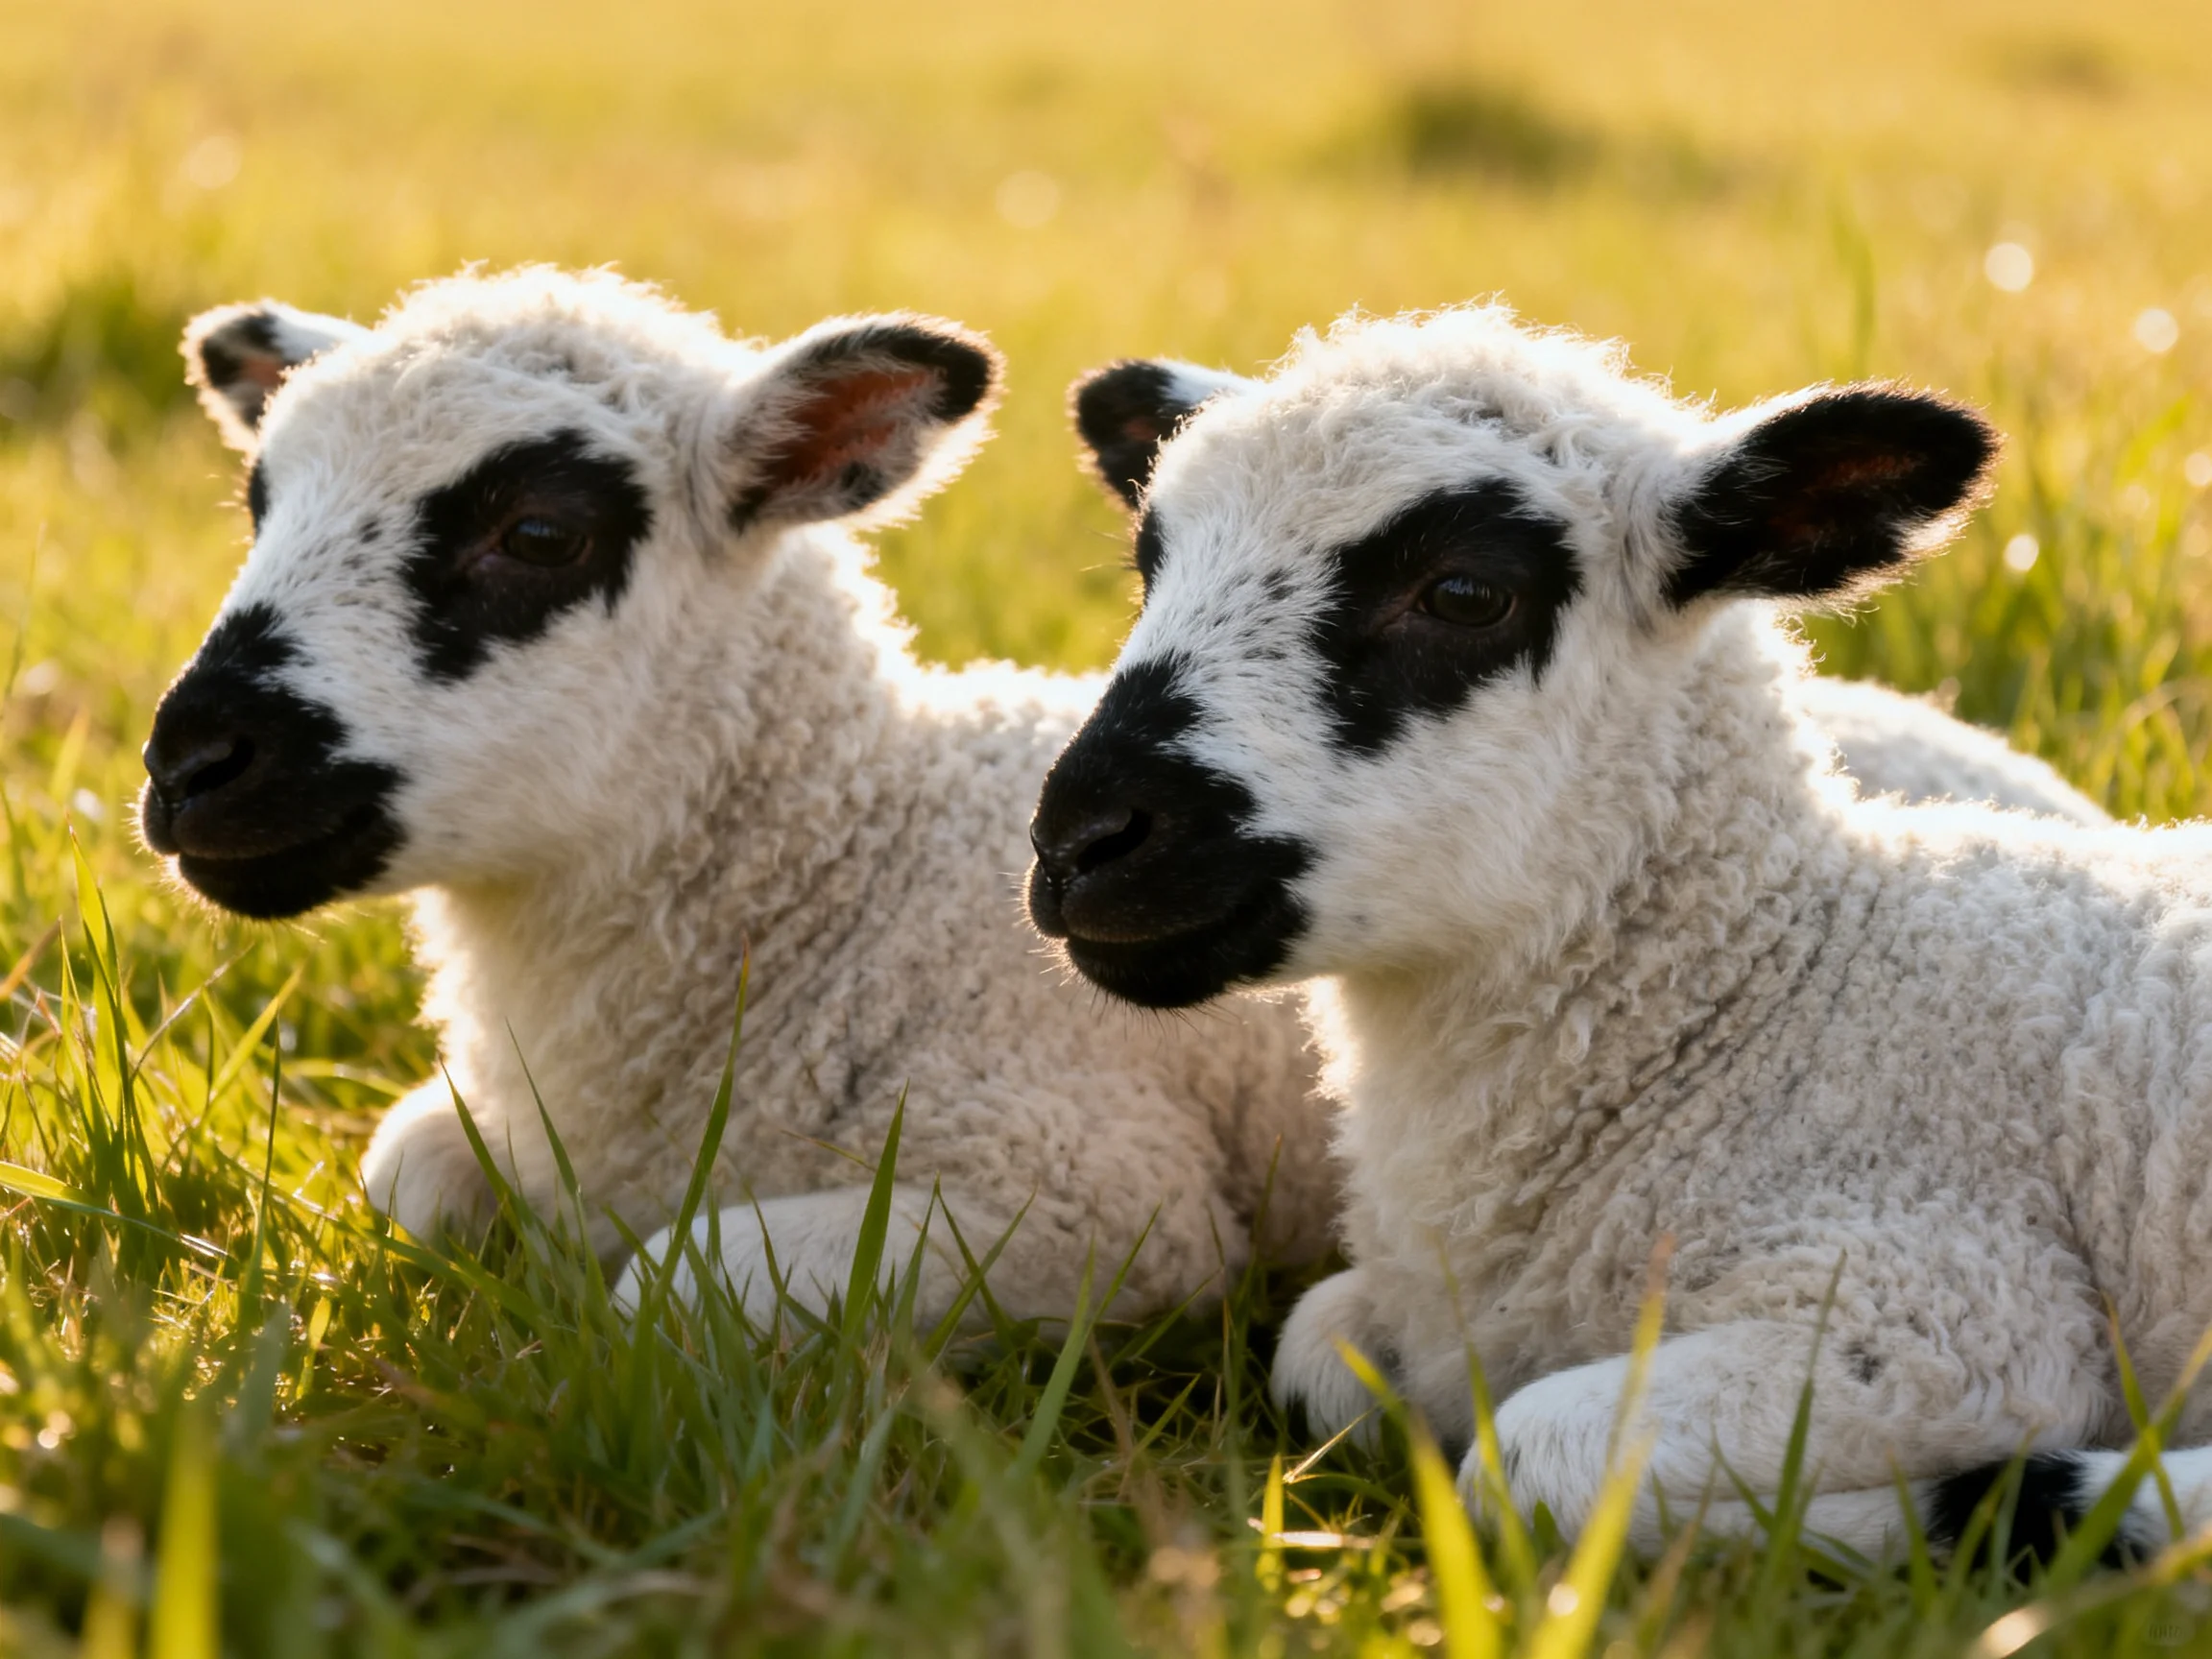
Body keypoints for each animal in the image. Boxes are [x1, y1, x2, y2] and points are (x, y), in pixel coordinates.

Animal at [142, 266, 1341, 1329]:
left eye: (539, 534)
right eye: (259, 503)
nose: (187, 767)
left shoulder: (1099, 1195)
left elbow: (668, 1285)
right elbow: (407, 1169)